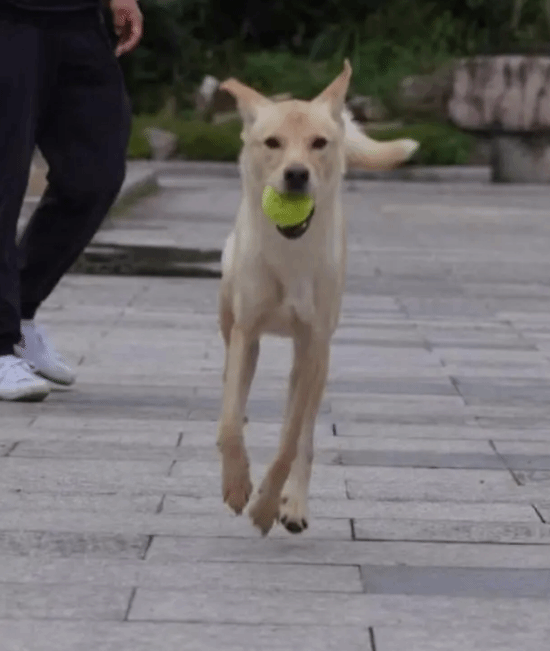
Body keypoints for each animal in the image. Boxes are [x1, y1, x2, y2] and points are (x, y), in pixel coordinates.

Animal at [218, 59, 420, 536]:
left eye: (318, 143)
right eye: (272, 143)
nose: (297, 174)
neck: (289, 253)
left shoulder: (312, 344)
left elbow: (291, 440)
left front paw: (267, 506)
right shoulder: (246, 330)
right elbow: (231, 419)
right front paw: (236, 484)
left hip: (317, 357)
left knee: (305, 428)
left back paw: (293, 505)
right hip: (229, 313)